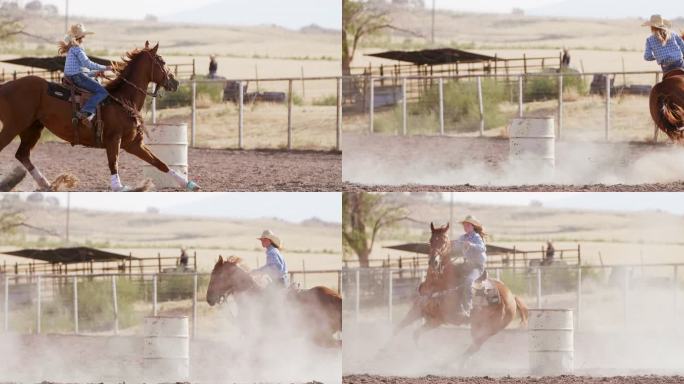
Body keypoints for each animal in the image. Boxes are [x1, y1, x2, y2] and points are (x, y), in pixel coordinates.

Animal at [0, 41, 200, 191]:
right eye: (161, 60)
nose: (175, 82)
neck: (122, 99)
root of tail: (6, 86)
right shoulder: (113, 139)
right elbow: (114, 162)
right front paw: (119, 187)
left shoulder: (133, 143)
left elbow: (160, 163)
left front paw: (189, 184)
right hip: (13, 127)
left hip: (32, 128)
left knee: (22, 155)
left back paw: (47, 184)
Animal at [390, 222, 528, 366]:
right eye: (431, 240)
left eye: (445, 241)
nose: (434, 262)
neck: (438, 284)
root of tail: (512, 297)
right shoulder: (417, 311)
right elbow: (399, 329)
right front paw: (382, 352)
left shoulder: (437, 320)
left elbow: (415, 334)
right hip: (477, 326)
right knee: (473, 348)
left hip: (487, 329)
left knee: (474, 347)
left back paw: (447, 365)